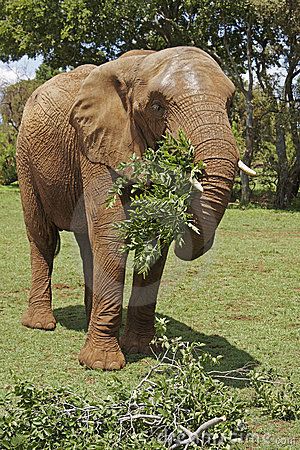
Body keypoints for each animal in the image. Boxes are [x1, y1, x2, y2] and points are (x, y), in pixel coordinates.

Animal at [16, 46, 251, 370]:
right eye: (157, 107)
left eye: (229, 103)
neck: (141, 64)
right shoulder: (96, 145)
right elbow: (111, 232)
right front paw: (102, 364)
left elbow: (154, 240)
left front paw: (140, 348)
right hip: (25, 157)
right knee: (43, 236)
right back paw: (40, 324)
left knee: (87, 244)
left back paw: (88, 319)